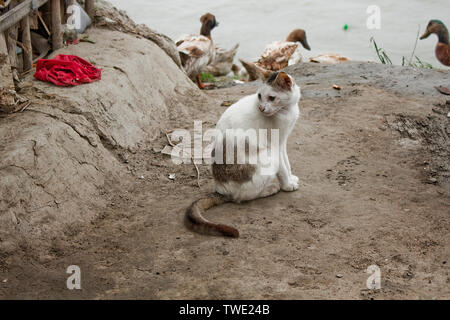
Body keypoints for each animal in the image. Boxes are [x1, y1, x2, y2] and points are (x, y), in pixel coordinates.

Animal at [185, 68, 300, 238]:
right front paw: (287, 184)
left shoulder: (283, 142)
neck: (286, 111)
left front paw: (291, 178)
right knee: (243, 197)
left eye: (272, 98)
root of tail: (221, 190)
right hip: (269, 156)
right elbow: (283, 169)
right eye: (259, 96)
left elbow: (288, 163)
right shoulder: (275, 146)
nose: (261, 108)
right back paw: (271, 188)